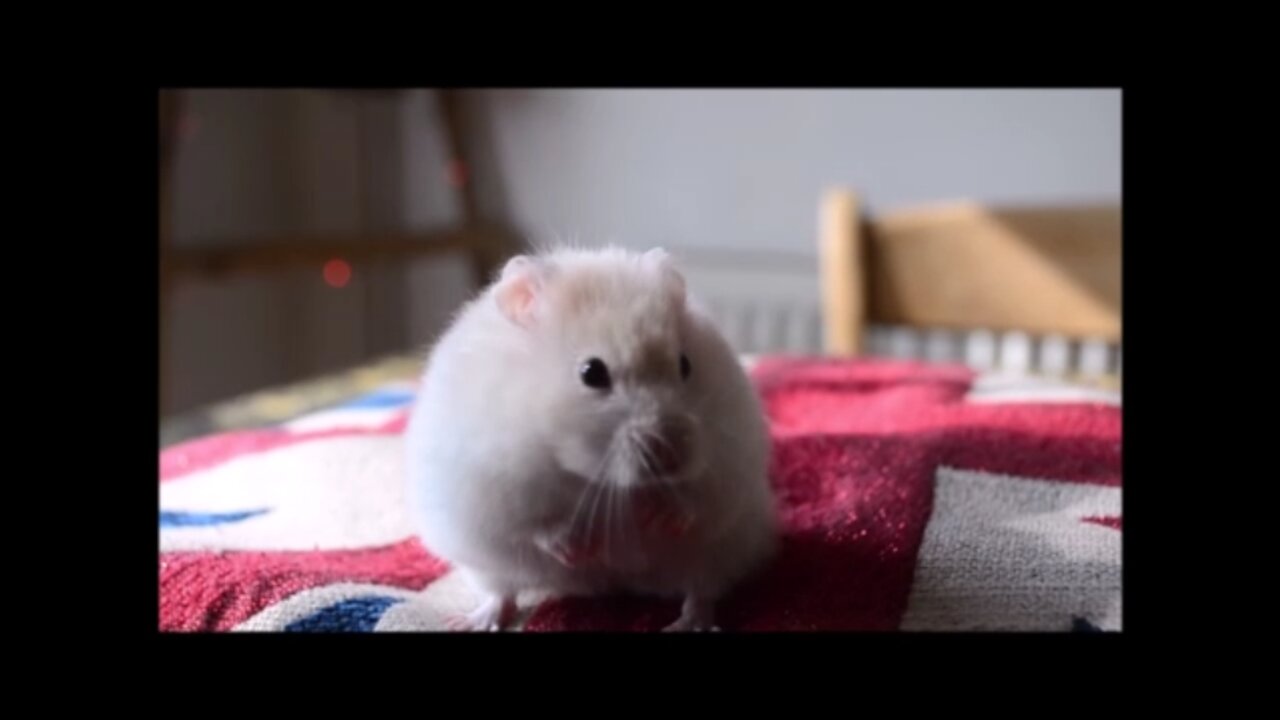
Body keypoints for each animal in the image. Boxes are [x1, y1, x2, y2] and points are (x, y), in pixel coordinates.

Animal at [404, 244, 773, 627]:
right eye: (591, 372)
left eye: (685, 365)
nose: (671, 455)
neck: (590, 476)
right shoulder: (493, 485)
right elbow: (535, 525)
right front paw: (581, 546)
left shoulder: (728, 462)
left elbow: (699, 500)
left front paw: (660, 515)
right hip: (482, 563)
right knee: (500, 591)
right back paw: (473, 622)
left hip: (720, 550)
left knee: (701, 591)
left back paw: (689, 625)